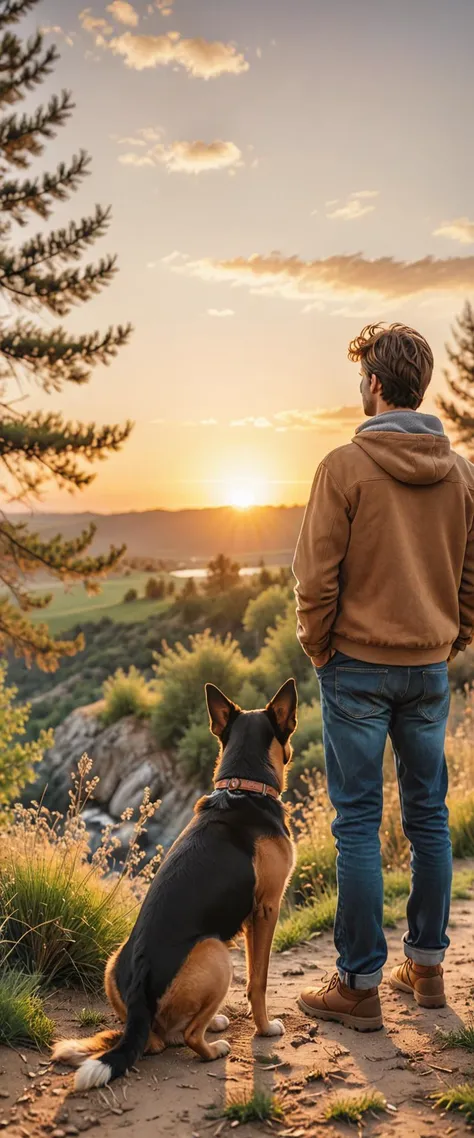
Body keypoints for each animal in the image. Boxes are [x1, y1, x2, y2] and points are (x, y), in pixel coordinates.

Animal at [51, 678, 295, 1087]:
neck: (243, 786)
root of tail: (138, 996)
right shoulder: (265, 910)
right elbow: (258, 982)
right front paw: (264, 1029)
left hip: (114, 962)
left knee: (159, 1039)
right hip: (215, 951)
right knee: (188, 1037)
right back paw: (213, 1047)